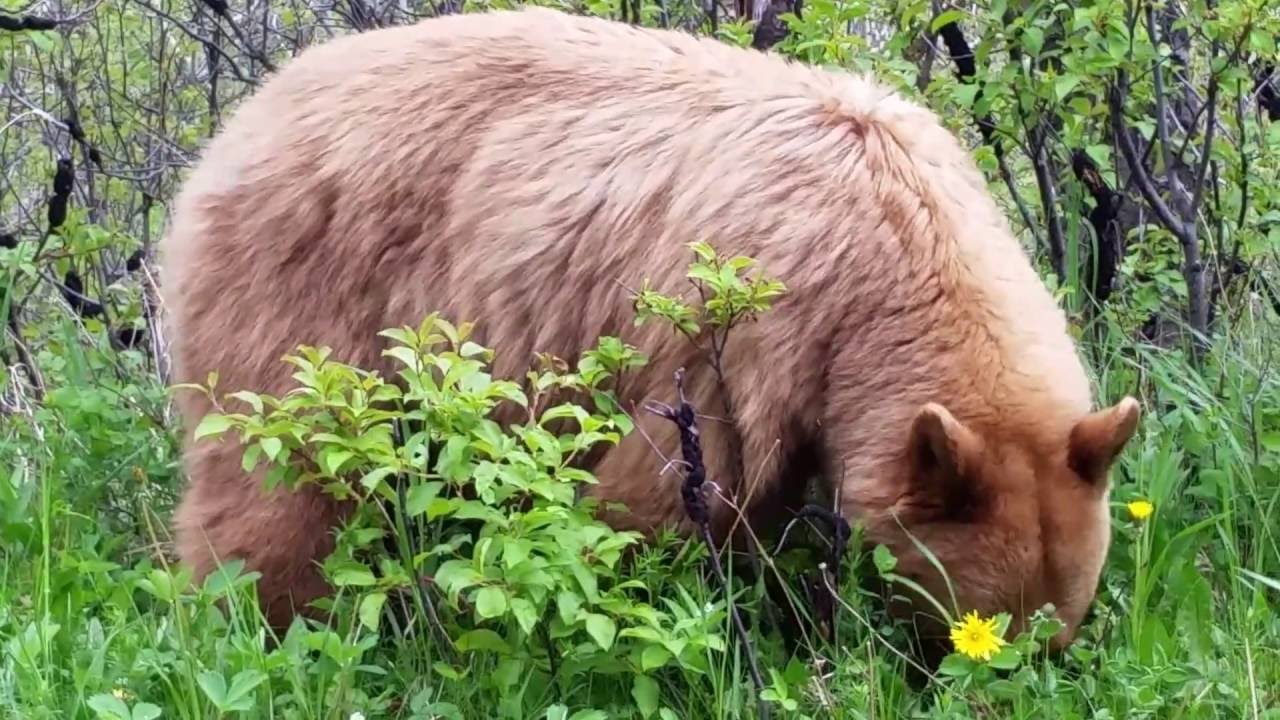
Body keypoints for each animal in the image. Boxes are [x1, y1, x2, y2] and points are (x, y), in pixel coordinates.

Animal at [157, 6, 1140, 653]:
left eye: (1058, 633)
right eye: (971, 625)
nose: (1002, 681)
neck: (894, 246)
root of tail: (245, 116)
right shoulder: (742, 332)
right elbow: (663, 497)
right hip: (312, 290)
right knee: (279, 476)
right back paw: (256, 622)